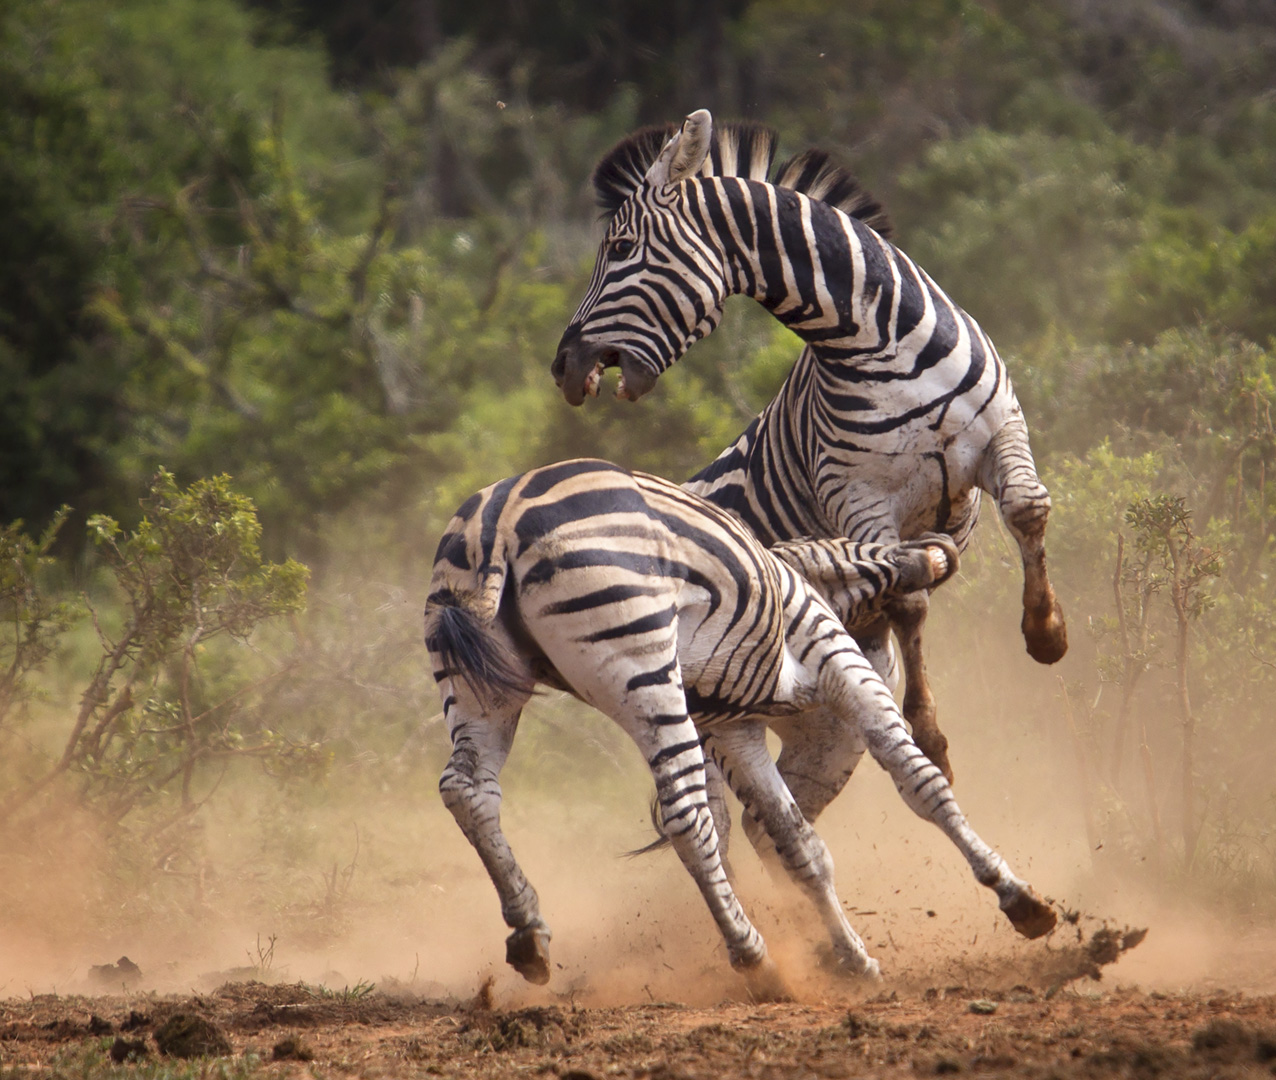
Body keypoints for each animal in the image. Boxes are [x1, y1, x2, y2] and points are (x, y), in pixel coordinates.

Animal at [425, 458, 1057, 996]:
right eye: (872, 552)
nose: (940, 548)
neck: (806, 577)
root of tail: (498, 521)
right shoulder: (836, 660)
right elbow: (922, 783)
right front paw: (1018, 898)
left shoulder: (736, 729)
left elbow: (800, 846)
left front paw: (854, 959)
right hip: (641, 663)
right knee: (685, 814)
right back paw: (756, 959)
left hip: (480, 686)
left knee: (467, 790)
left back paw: (528, 934)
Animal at [552, 110, 1068, 786]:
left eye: (619, 250)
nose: (562, 366)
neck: (880, 343)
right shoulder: (859, 497)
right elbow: (909, 600)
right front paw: (929, 735)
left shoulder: (1002, 428)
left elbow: (1028, 509)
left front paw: (1046, 632)